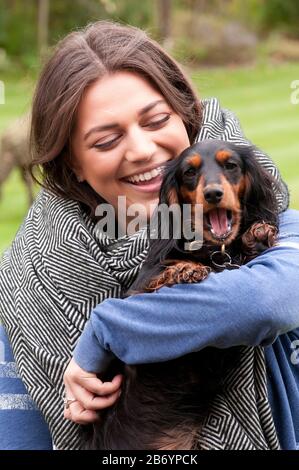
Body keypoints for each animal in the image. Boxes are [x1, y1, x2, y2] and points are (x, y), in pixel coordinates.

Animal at [84, 139, 278, 448]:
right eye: (189, 172)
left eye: (231, 165)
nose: (213, 194)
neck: (214, 252)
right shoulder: (136, 291)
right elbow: (163, 272)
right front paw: (185, 269)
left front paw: (257, 234)